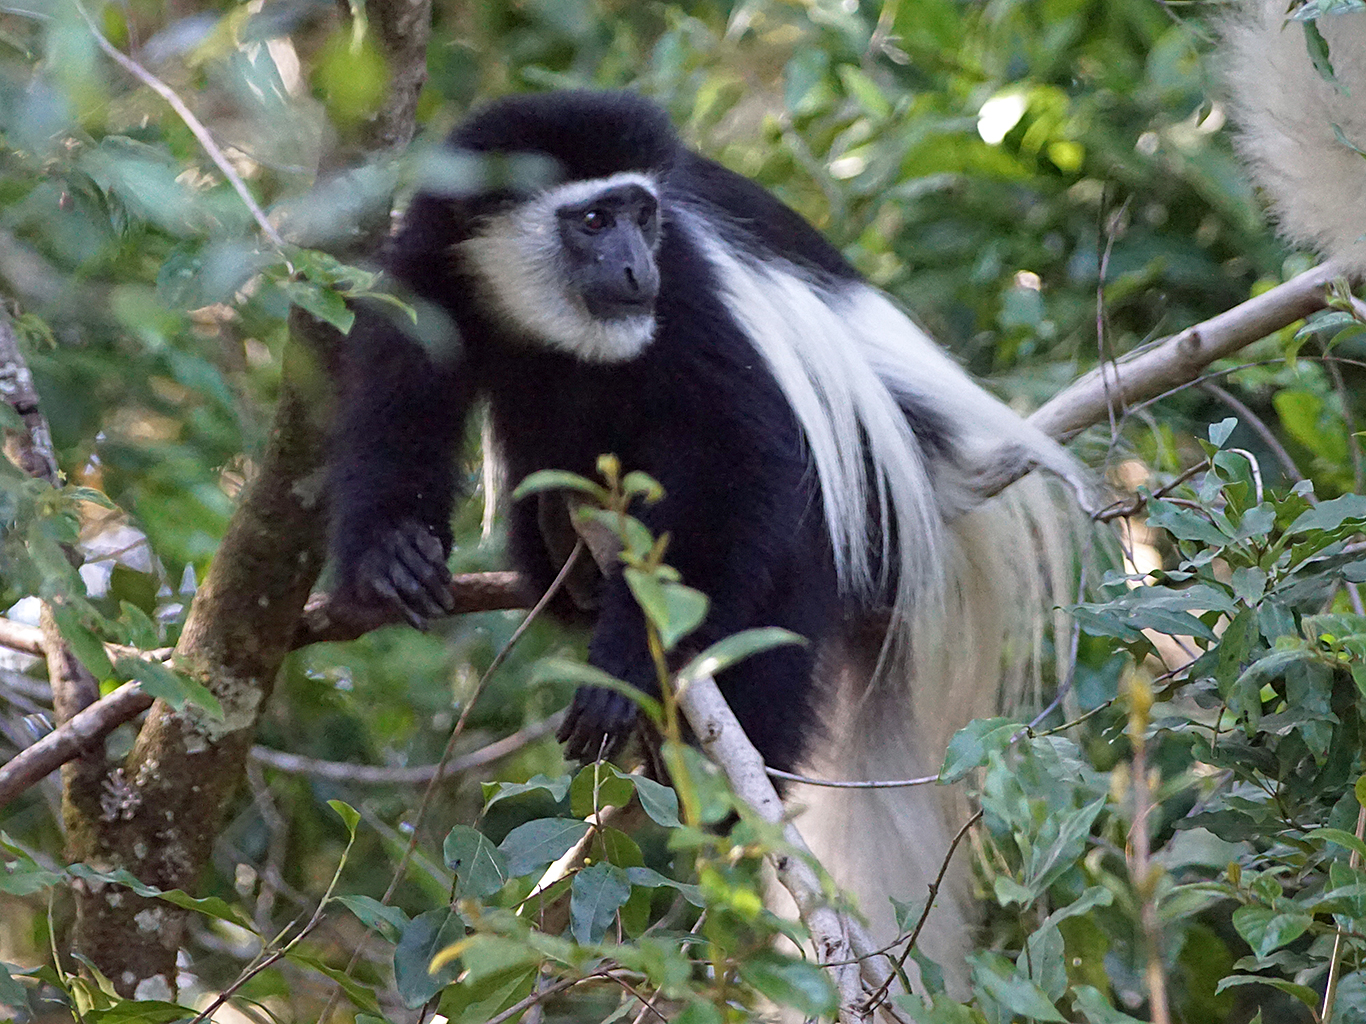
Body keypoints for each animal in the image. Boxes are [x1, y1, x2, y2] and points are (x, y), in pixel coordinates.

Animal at [325, 90, 1081, 977]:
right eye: (591, 220)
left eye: (642, 216)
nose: (632, 268)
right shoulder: (428, 263)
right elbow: (398, 400)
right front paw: (391, 554)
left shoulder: (686, 291)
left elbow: (737, 459)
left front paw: (623, 668)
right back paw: (568, 558)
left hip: (854, 503)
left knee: (776, 588)